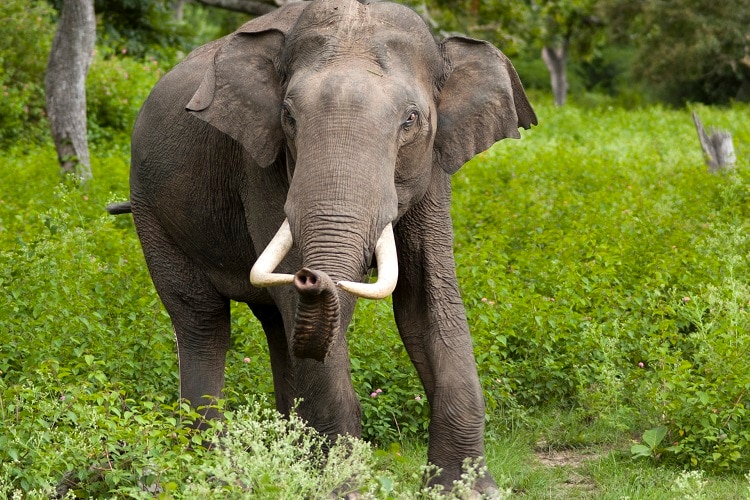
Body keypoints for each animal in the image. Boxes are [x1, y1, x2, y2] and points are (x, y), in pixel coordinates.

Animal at [110, 0, 536, 492]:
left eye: (411, 120)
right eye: (289, 117)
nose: (311, 276)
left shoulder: (434, 167)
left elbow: (428, 301)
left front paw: (467, 490)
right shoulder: (262, 164)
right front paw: (341, 488)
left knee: (276, 326)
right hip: (150, 211)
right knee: (202, 320)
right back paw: (214, 472)